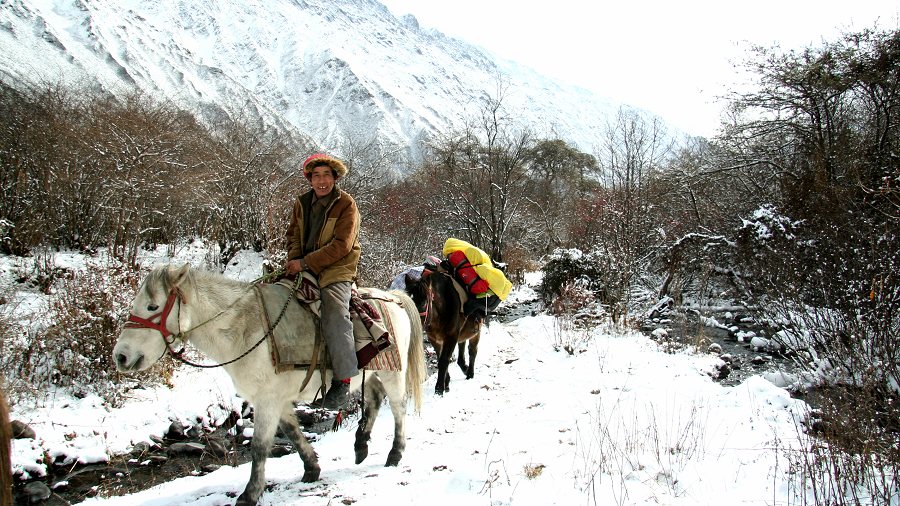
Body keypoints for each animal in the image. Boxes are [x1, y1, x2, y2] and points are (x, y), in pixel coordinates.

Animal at [113, 264, 426, 506]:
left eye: (153, 306)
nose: (121, 357)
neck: (243, 327)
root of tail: (393, 297)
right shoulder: (277, 400)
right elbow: (293, 434)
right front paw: (312, 469)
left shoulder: (267, 400)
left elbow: (260, 447)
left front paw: (249, 495)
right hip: (372, 373)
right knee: (374, 399)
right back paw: (360, 447)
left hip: (393, 373)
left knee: (398, 408)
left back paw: (395, 453)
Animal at [404, 268, 482, 396]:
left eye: (423, 303)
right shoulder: (434, 339)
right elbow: (440, 358)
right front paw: (446, 383)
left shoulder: (450, 337)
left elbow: (444, 360)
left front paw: (439, 389)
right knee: (462, 347)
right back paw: (465, 368)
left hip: (476, 332)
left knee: (472, 351)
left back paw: (470, 373)